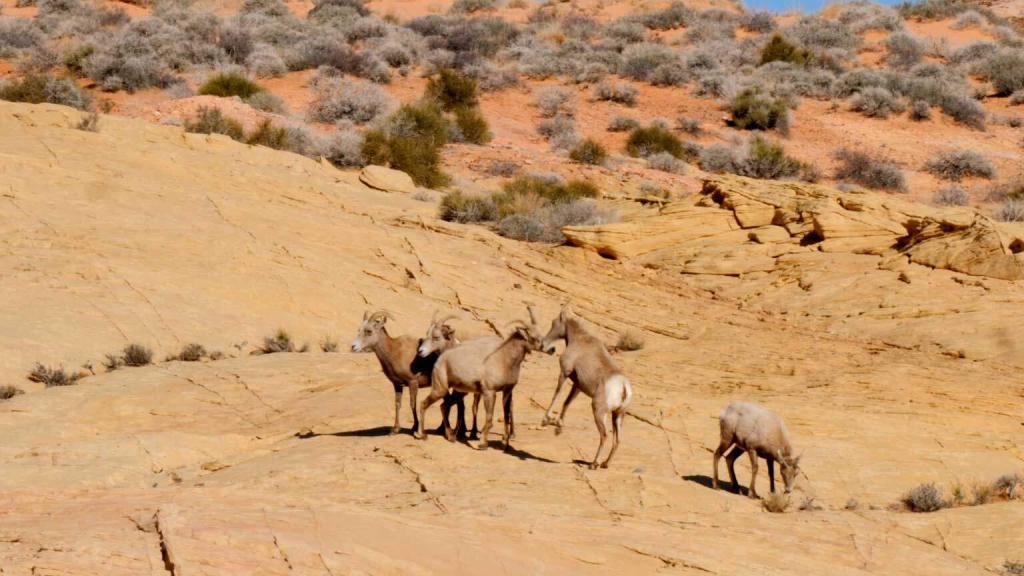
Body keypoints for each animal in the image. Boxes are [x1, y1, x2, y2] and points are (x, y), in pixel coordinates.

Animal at [413, 305, 544, 448]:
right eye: (427, 335)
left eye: (436, 337)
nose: (421, 351)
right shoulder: (463, 390)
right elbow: (460, 407)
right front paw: (452, 431)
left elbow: (463, 408)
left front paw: (462, 433)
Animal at [544, 303, 630, 469]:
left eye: (553, 322)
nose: (545, 344)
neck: (579, 339)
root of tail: (623, 388)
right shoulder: (578, 386)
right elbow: (566, 403)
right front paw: (558, 427)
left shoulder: (564, 372)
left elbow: (557, 394)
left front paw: (546, 419)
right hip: (617, 416)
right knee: (617, 440)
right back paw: (604, 464)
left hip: (598, 411)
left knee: (604, 436)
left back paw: (594, 464)